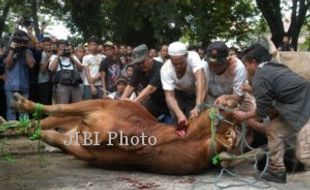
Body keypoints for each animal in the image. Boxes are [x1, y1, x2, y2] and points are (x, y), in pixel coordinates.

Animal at [9, 93, 237, 174]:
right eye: (222, 104)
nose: (235, 100)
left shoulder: (79, 147)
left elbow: (46, 133)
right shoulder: (100, 106)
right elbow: (59, 107)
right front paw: (21, 104)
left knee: (41, 127)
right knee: (50, 115)